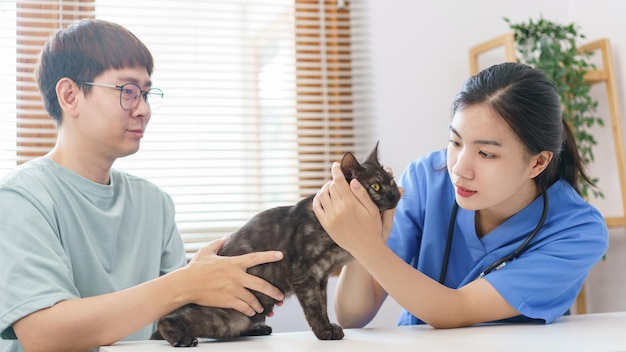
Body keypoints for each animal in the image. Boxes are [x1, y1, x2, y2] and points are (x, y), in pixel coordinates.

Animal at [154, 142, 402, 346]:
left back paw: (259, 329)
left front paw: (329, 327)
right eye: (376, 187)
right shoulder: (304, 274)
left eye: (391, 181)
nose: (394, 195)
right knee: (167, 318)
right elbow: (314, 308)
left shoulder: (321, 277)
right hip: (228, 316)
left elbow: (322, 305)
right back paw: (181, 338)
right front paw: (324, 333)